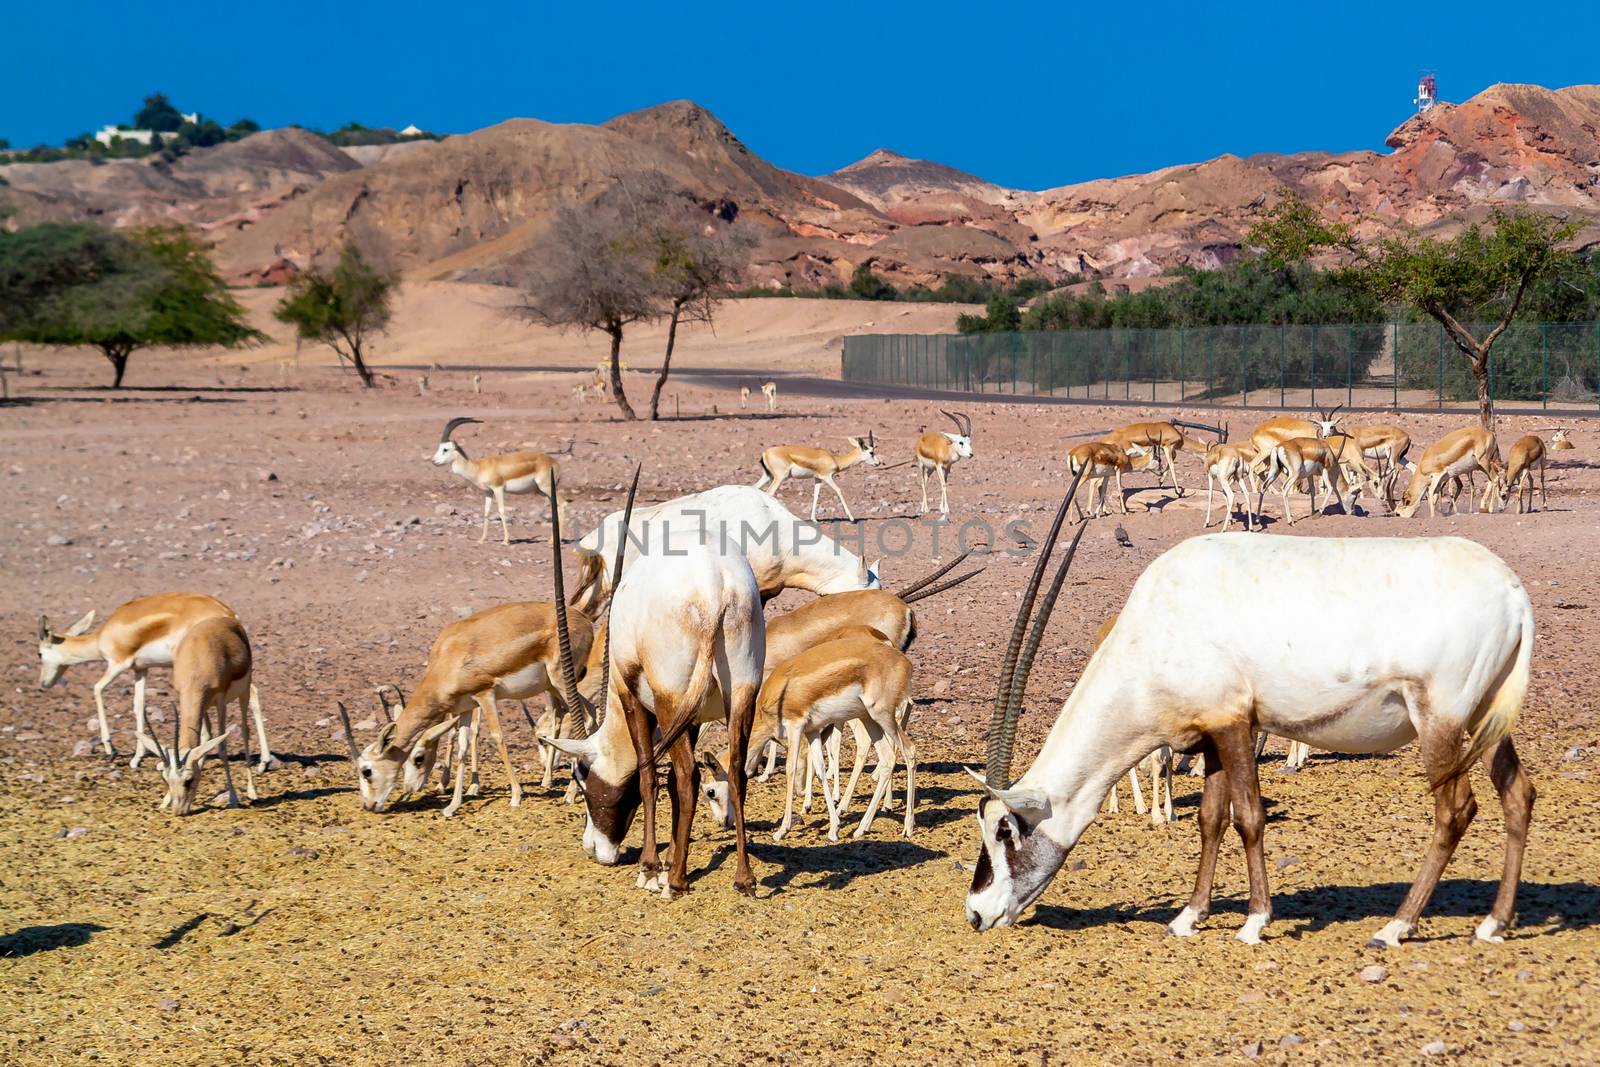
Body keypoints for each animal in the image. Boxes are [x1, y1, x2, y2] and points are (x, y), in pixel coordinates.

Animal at [35, 591, 252, 767]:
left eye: (39, 654)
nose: (44, 683)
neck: (103, 636)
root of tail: (228, 613)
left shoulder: (117, 664)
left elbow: (97, 689)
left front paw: (111, 750)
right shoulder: (140, 670)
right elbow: (139, 706)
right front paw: (137, 758)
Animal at [143, 617, 265, 819]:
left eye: (189, 780)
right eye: (166, 779)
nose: (179, 811)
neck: (197, 664)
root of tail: (226, 619)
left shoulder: (221, 700)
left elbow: (222, 747)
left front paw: (233, 799)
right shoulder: (189, 698)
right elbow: (203, 743)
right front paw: (165, 801)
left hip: (244, 691)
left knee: (245, 730)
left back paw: (252, 791)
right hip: (206, 707)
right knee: (207, 737)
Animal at [432, 415, 569, 547]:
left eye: (445, 449)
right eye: (439, 448)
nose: (433, 461)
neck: (478, 468)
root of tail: (554, 462)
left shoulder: (498, 488)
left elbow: (502, 511)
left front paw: (506, 541)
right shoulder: (488, 492)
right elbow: (486, 512)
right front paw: (482, 539)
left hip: (546, 487)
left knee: (563, 504)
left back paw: (555, 541)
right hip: (542, 491)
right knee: (555, 506)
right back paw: (551, 540)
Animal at [755, 428, 883, 521]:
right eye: (871, 452)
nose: (878, 463)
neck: (835, 459)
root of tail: (765, 453)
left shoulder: (818, 479)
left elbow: (816, 495)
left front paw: (814, 519)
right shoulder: (827, 476)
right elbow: (838, 490)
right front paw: (852, 518)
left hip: (768, 476)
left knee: (755, 488)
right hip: (780, 477)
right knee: (769, 492)